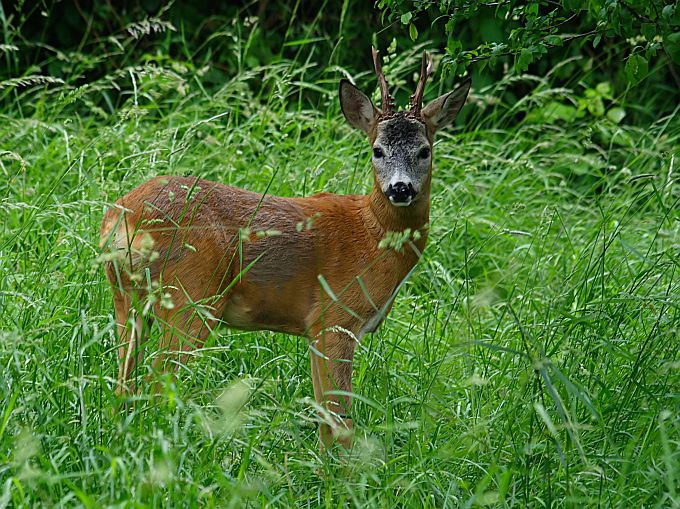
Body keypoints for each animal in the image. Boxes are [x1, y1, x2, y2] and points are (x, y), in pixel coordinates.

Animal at [101, 48, 470, 448]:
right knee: (156, 385)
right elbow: (341, 421)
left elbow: (324, 417)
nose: (401, 188)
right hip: (191, 296)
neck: (371, 234)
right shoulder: (335, 317)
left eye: (424, 150)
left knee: (122, 385)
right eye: (377, 150)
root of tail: (125, 217)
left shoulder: (313, 329)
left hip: (128, 298)